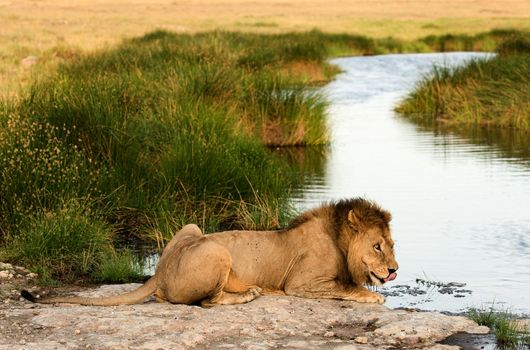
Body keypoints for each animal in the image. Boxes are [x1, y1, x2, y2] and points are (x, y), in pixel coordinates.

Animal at [23, 198, 396, 308]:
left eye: (392, 245)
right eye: (377, 246)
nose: (393, 270)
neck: (339, 240)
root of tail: (160, 271)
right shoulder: (301, 284)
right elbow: (346, 288)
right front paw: (372, 295)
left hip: (191, 227)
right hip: (218, 251)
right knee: (208, 302)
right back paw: (248, 294)